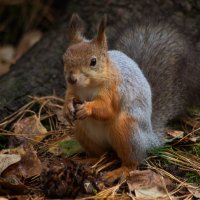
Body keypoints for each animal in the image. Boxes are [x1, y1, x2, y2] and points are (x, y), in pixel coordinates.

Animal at [63, 14, 200, 183]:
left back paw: (120, 171)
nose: (71, 79)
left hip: (126, 131)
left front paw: (87, 108)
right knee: (100, 154)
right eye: (64, 59)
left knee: (133, 161)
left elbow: (107, 109)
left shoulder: (115, 90)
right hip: (83, 132)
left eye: (93, 61)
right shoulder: (72, 90)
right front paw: (67, 108)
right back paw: (88, 160)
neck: (88, 86)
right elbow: (70, 97)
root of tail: (148, 138)